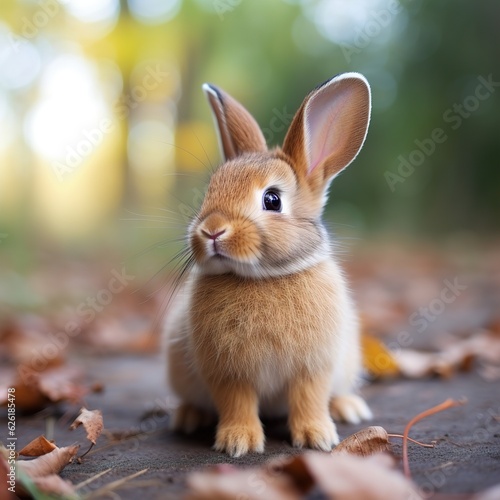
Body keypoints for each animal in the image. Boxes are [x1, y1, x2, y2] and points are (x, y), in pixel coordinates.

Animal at [166, 71, 374, 458]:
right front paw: (239, 442)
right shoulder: (229, 373)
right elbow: (237, 402)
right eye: (210, 191)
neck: (262, 277)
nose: (212, 230)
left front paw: (318, 437)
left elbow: (309, 399)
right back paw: (187, 417)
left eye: (272, 200)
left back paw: (349, 408)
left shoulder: (313, 367)